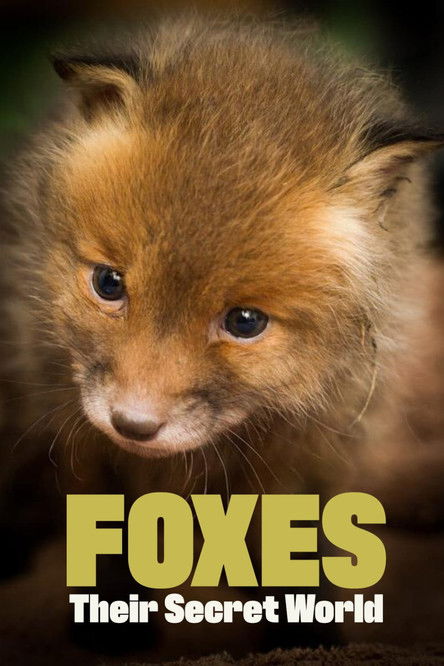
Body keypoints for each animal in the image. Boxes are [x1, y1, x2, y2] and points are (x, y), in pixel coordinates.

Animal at [1, 12, 444, 664]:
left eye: (245, 322)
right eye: (108, 283)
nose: (134, 425)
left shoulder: (314, 448)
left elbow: (297, 548)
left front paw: (303, 629)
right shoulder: (68, 425)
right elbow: (104, 529)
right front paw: (113, 615)